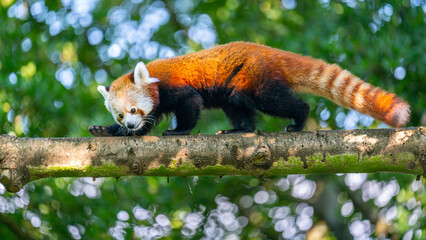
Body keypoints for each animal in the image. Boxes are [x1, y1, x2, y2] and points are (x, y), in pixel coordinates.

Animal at [88, 42, 412, 136]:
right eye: (120, 115)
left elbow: (189, 106)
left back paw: (299, 120)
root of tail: (269, 51)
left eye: (133, 108)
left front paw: (180, 131)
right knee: (237, 106)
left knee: (273, 101)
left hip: (254, 77)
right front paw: (108, 131)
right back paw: (238, 129)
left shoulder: (176, 89)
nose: (128, 123)